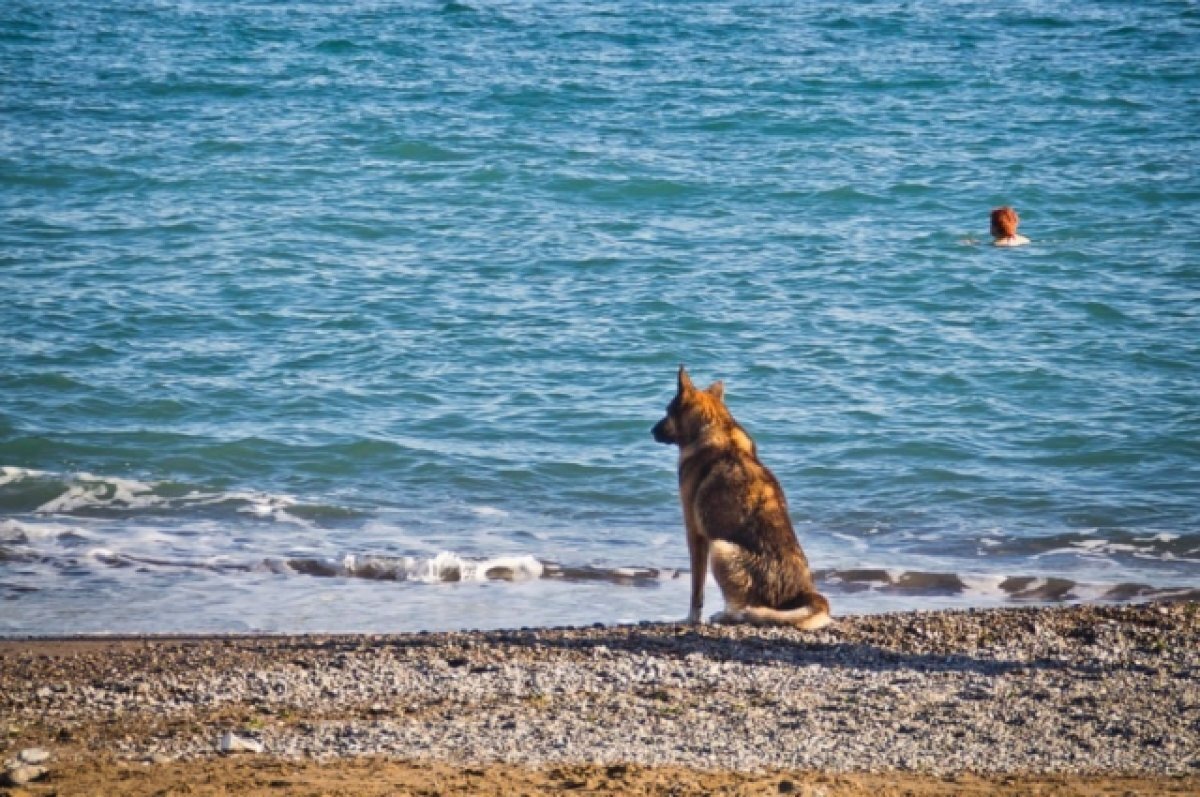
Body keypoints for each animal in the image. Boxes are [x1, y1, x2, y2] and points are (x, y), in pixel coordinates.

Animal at [652, 364, 830, 628]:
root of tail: (804, 594)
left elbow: (697, 590)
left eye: (667, 411)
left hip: (720, 548)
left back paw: (725, 615)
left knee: (741, 609)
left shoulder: (695, 534)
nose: (651, 431)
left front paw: (691, 619)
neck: (718, 428)